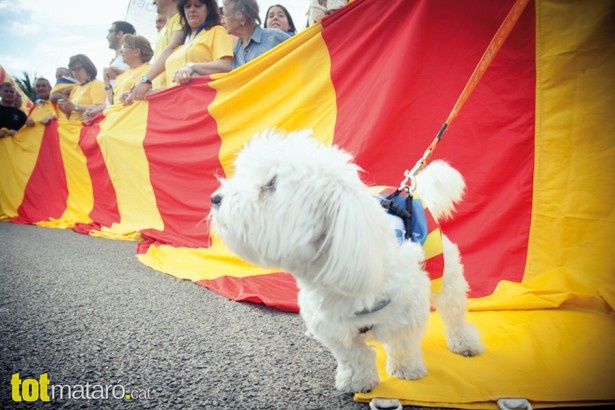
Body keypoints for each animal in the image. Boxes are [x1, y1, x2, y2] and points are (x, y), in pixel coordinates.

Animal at [209, 130, 484, 392]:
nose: (215, 198)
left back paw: (464, 341)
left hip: (446, 270)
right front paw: (358, 380)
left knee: (453, 309)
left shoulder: (409, 309)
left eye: (271, 183)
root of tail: (408, 192)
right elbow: (353, 355)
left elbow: (403, 343)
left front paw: (406, 369)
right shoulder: (330, 324)